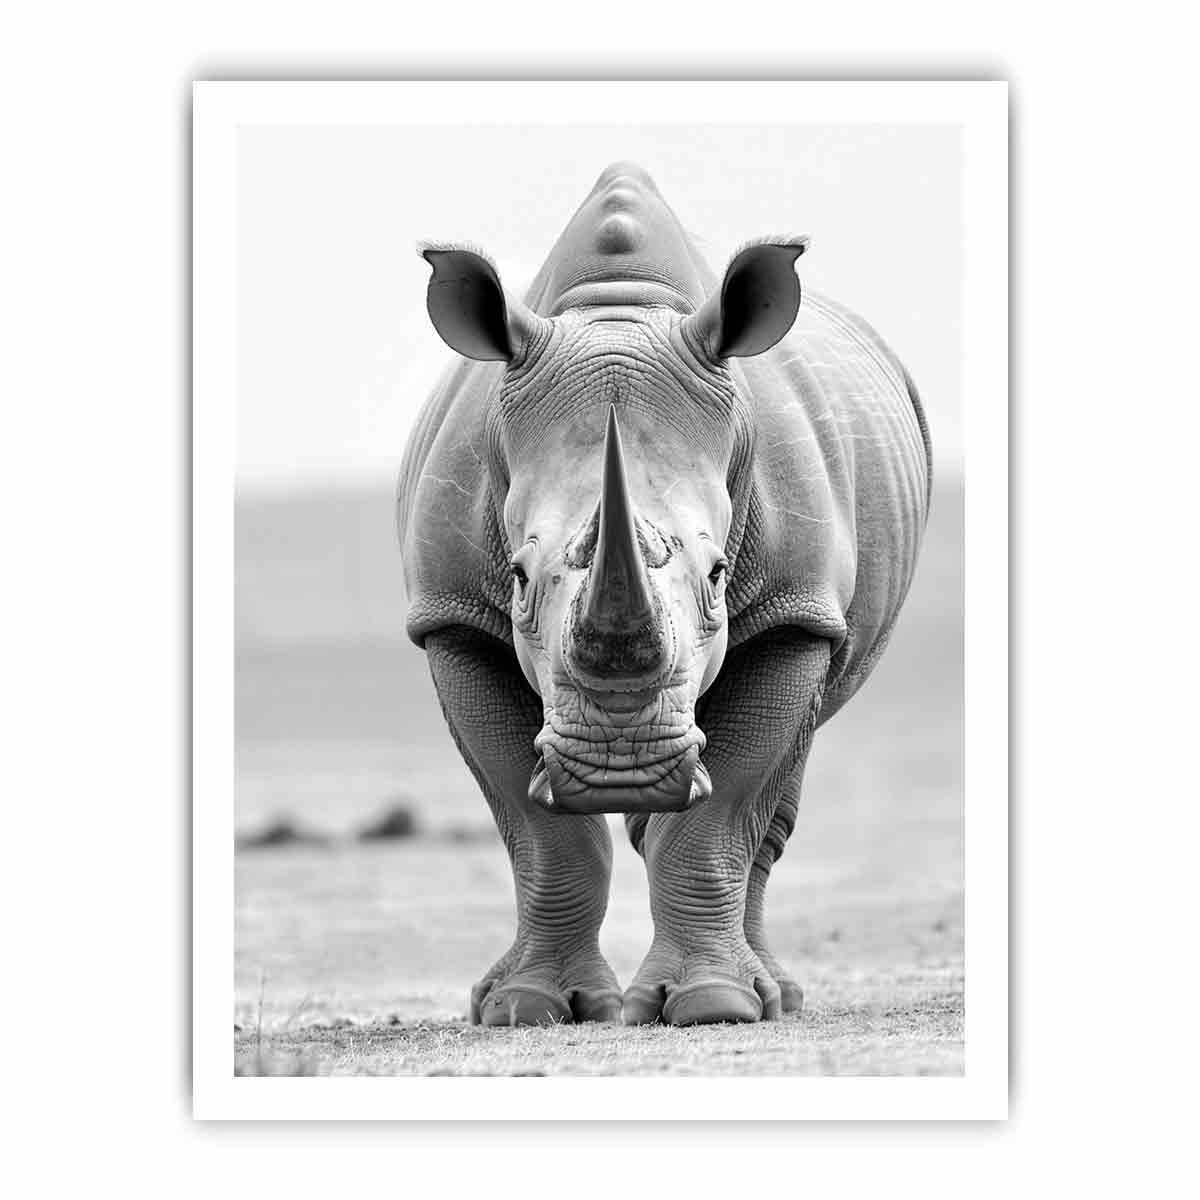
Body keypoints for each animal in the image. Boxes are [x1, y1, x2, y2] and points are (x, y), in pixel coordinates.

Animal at [397, 162, 931, 1027]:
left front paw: (714, 1005)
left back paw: (774, 996)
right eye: (517, 579)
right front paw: (524, 1008)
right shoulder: (452, 618)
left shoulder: (794, 611)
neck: (618, 313)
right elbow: (537, 826)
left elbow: (722, 811)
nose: (622, 767)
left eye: (717, 575)